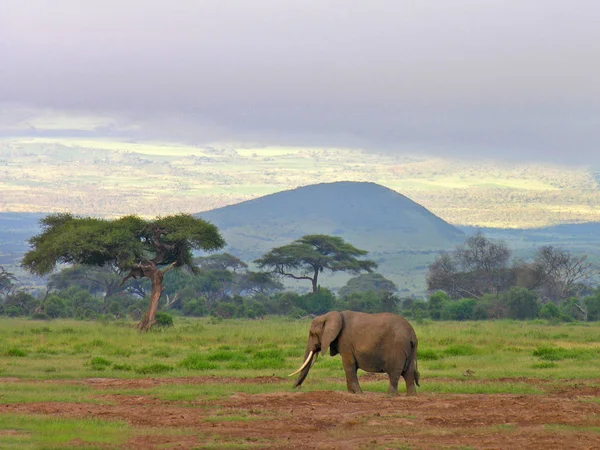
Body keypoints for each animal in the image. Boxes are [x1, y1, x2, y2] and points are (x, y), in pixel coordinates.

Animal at [288, 312, 420, 396]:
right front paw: (351, 392)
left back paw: (390, 396)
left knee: (394, 373)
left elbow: (349, 364)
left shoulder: (345, 341)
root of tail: (412, 334)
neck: (331, 315)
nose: (296, 388)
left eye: (312, 334)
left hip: (397, 349)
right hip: (411, 350)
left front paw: (358, 393)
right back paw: (411, 395)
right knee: (408, 372)